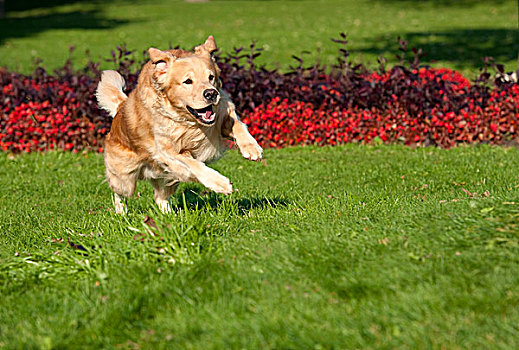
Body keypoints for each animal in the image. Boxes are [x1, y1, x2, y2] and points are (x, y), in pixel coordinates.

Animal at [95, 37, 262, 215]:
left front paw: (252, 148)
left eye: (211, 77)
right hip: (125, 178)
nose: (211, 94)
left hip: (165, 177)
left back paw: (170, 215)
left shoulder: (223, 113)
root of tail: (120, 108)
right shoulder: (168, 153)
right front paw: (220, 183)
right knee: (119, 193)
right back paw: (121, 213)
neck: (188, 122)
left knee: (160, 197)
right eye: (187, 81)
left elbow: (238, 125)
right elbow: (194, 164)